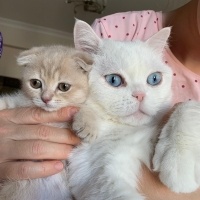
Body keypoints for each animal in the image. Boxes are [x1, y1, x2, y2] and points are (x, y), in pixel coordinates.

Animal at [0, 45, 93, 200]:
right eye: (35, 83)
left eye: (64, 87)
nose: (46, 98)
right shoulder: (18, 103)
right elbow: (5, 102)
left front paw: (88, 124)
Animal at [67, 19, 173, 198]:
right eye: (114, 80)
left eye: (154, 79)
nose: (140, 95)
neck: (124, 129)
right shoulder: (97, 175)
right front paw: (87, 124)